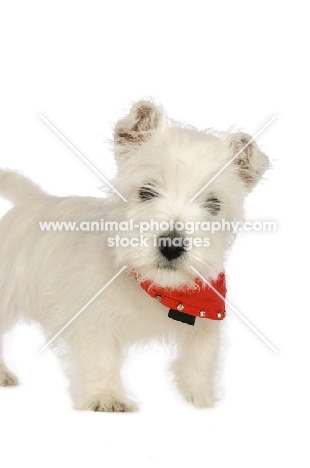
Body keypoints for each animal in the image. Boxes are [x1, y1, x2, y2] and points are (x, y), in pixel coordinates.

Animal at [0, 100, 268, 412]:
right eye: (146, 191)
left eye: (214, 204)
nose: (172, 245)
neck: (159, 289)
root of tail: (31, 201)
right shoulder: (92, 319)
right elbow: (100, 356)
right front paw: (106, 398)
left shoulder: (205, 318)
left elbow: (201, 357)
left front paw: (200, 398)